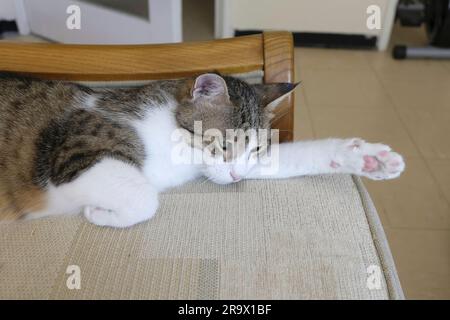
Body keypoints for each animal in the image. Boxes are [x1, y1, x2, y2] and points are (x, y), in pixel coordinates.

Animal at [0, 72, 406, 228]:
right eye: (223, 144)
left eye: (257, 149)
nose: (238, 176)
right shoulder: (74, 153)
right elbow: (145, 197)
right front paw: (99, 213)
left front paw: (369, 157)